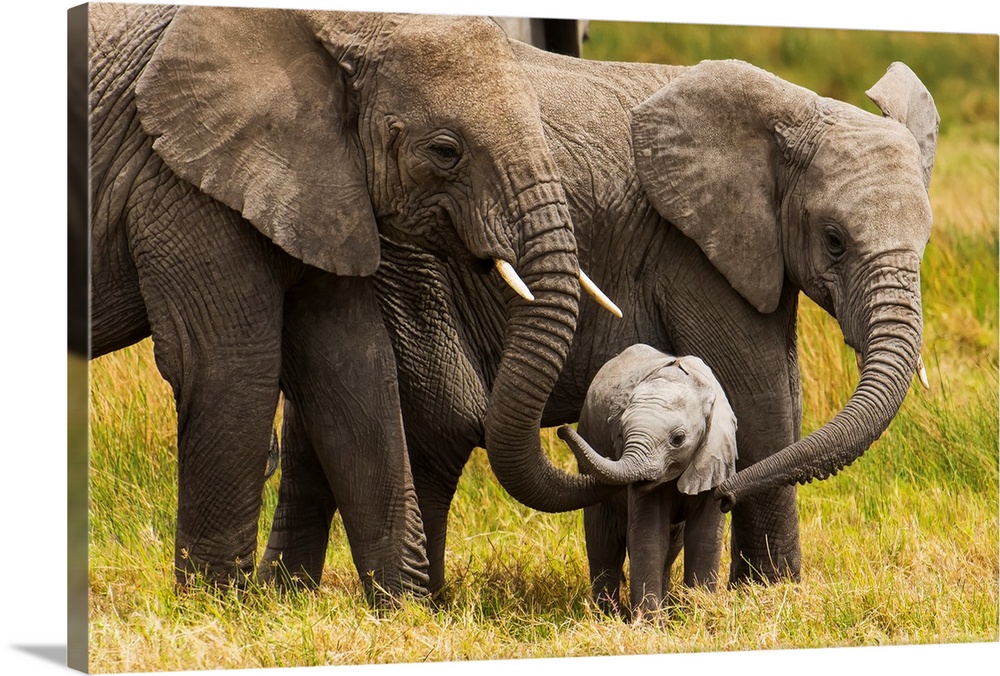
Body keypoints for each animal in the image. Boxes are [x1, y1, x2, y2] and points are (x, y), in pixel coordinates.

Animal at [84, 5, 608, 604]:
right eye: (445, 151)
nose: (571, 431)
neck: (343, 26)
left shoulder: (321, 186)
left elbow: (353, 369)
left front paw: (406, 609)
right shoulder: (179, 179)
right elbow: (226, 369)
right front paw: (214, 608)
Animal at [268, 45, 936, 588]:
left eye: (927, 241)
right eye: (834, 241)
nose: (721, 496)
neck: (793, 106)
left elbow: (782, 395)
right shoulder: (689, 250)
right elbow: (763, 399)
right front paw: (771, 593)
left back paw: (289, 596)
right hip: (408, 260)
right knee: (438, 426)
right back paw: (422, 605)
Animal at [560, 346, 740, 620]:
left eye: (678, 439)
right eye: (620, 434)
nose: (562, 429)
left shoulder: (715, 453)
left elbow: (704, 536)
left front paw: (699, 615)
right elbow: (648, 536)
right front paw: (649, 625)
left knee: (671, 544)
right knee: (603, 541)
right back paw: (606, 616)